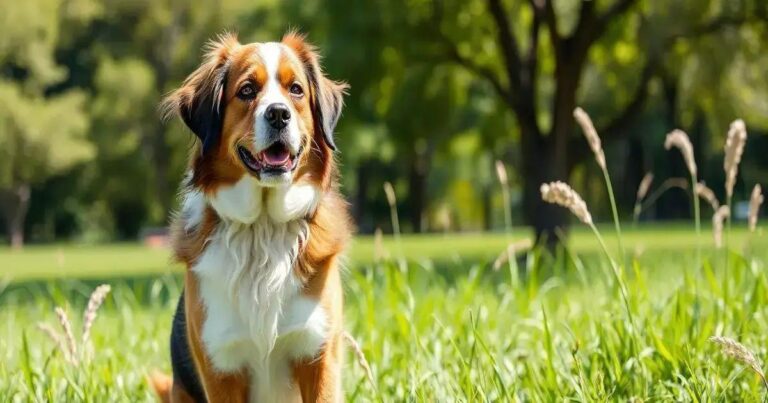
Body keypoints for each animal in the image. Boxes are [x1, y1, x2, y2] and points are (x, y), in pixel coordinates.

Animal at [149, 32, 352, 403]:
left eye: (296, 89)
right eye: (246, 90)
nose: (278, 114)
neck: (263, 226)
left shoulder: (317, 356)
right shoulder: (222, 367)